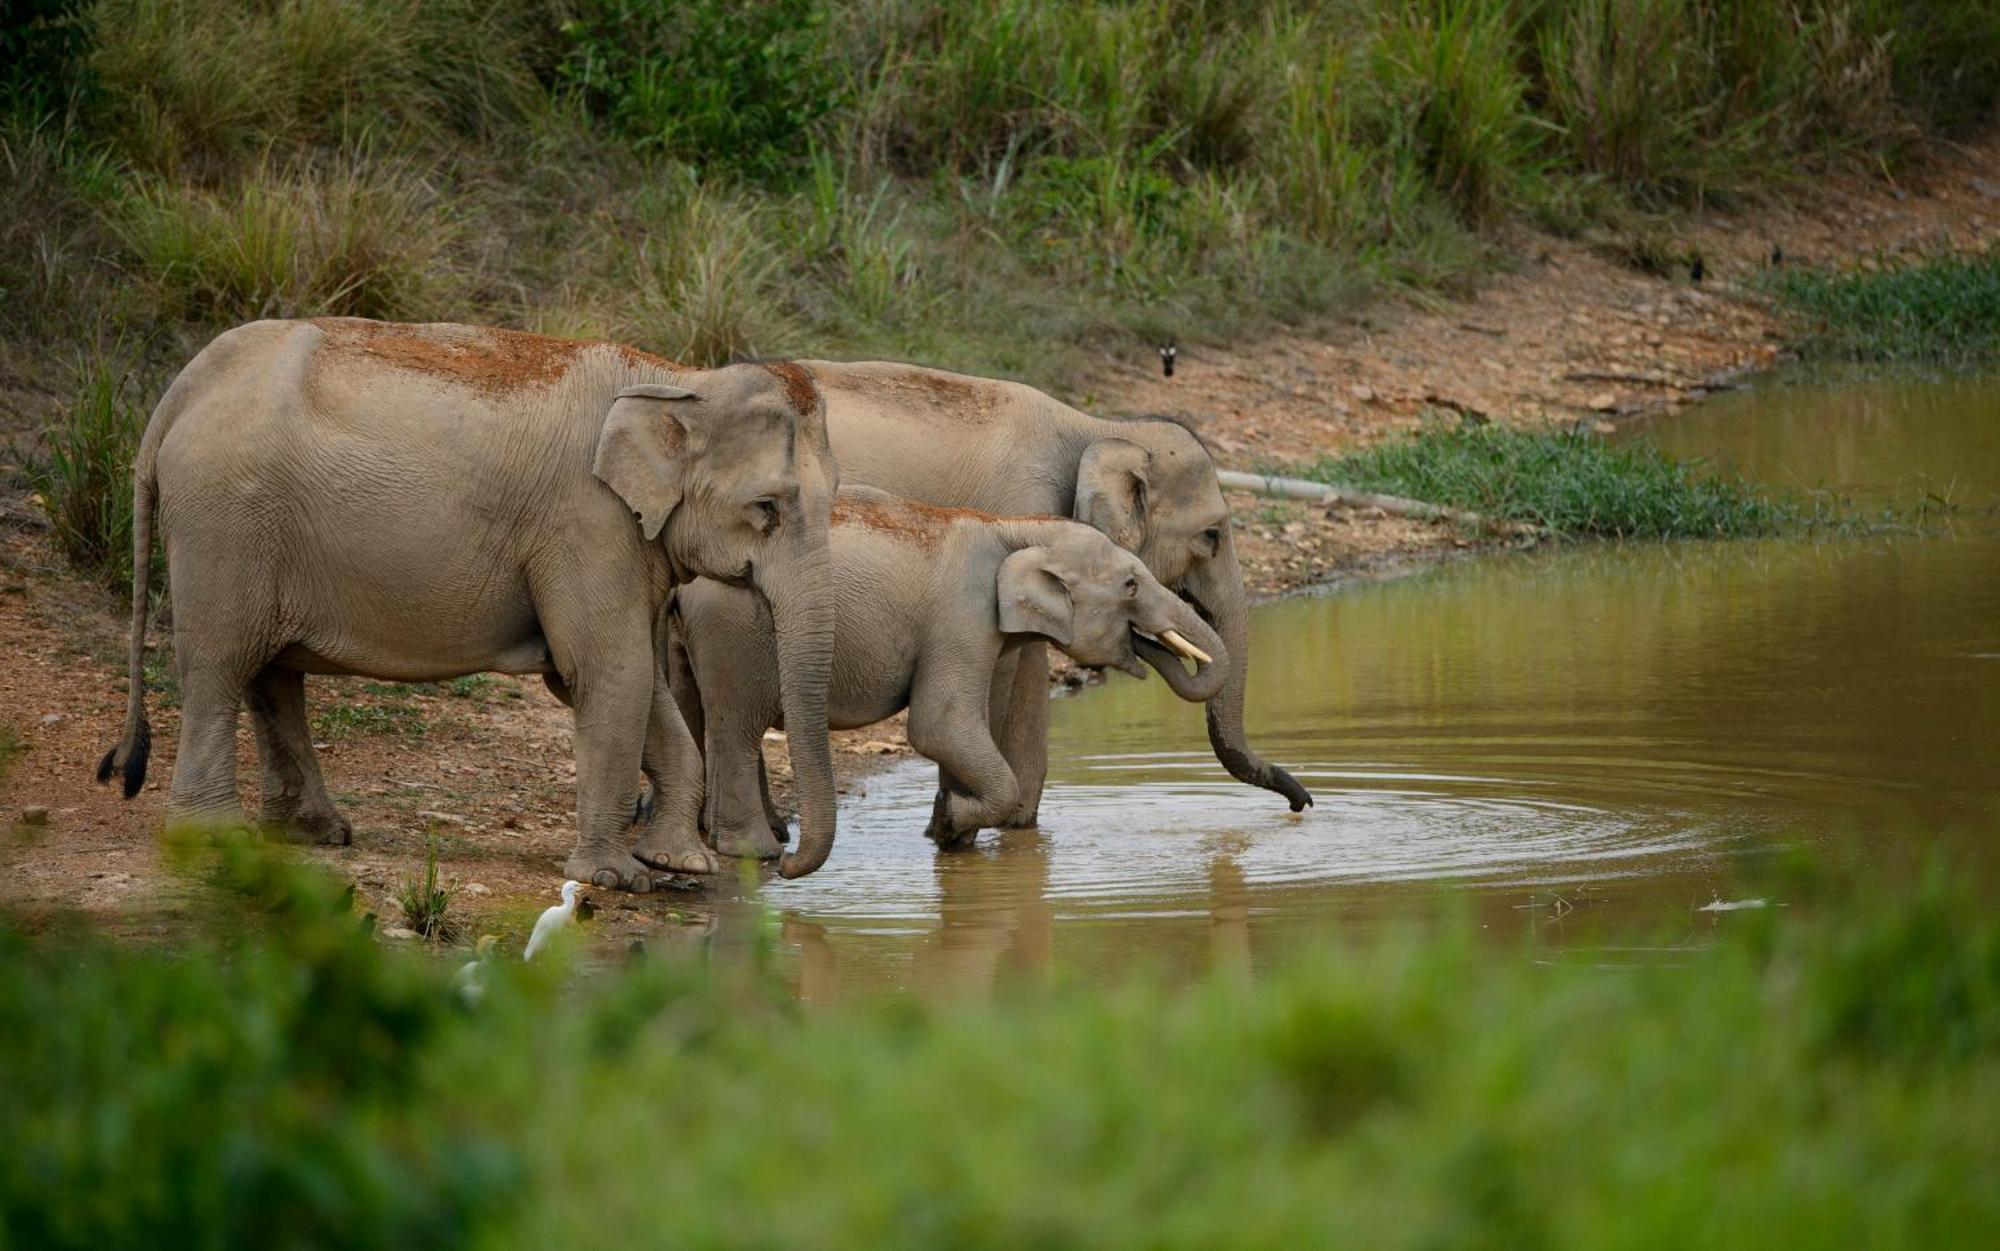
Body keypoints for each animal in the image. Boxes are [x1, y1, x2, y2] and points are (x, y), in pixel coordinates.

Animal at [95, 321, 844, 887]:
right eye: (768, 508)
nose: (783, 866)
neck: (678, 378)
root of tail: (180, 392)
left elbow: (625, 677)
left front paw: (678, 864)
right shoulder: (585, 519)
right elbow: (607, 670)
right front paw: (617, 877)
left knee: (271, 673)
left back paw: (316, 833)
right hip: (225, 519)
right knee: (220, 665)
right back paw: (213, 840)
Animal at [664, 481, 1224, 851]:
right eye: (1130, 585)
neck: (1014, 528)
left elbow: (956, 731)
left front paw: (950, 834)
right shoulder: (962, 615)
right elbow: (941, 724)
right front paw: (953, 823)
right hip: (733, 631)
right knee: (737, 726)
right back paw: (757, 853)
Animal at [796, 357, 1312, 819]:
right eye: (1211, 536)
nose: (1303, 802)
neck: (1094, 429)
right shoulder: (1015, 511)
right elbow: (1012, 668)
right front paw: (969, 825)